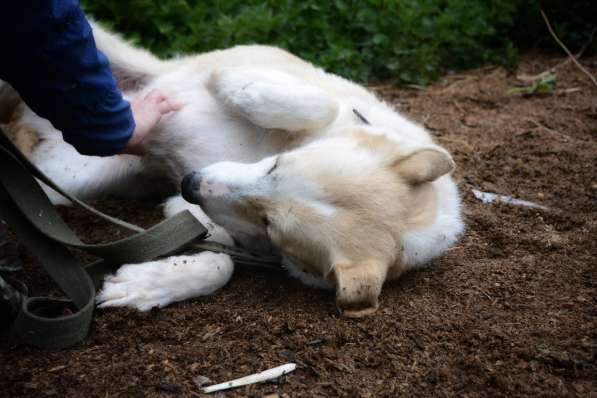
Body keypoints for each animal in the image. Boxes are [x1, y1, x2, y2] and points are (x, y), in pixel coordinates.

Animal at [0, 24, 464, 318]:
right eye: (278, 165)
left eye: (270, 224)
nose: (190, 184)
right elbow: (317, 103)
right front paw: (236, 89)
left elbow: (220, 264)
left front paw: (144, 285)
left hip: (62, 182)